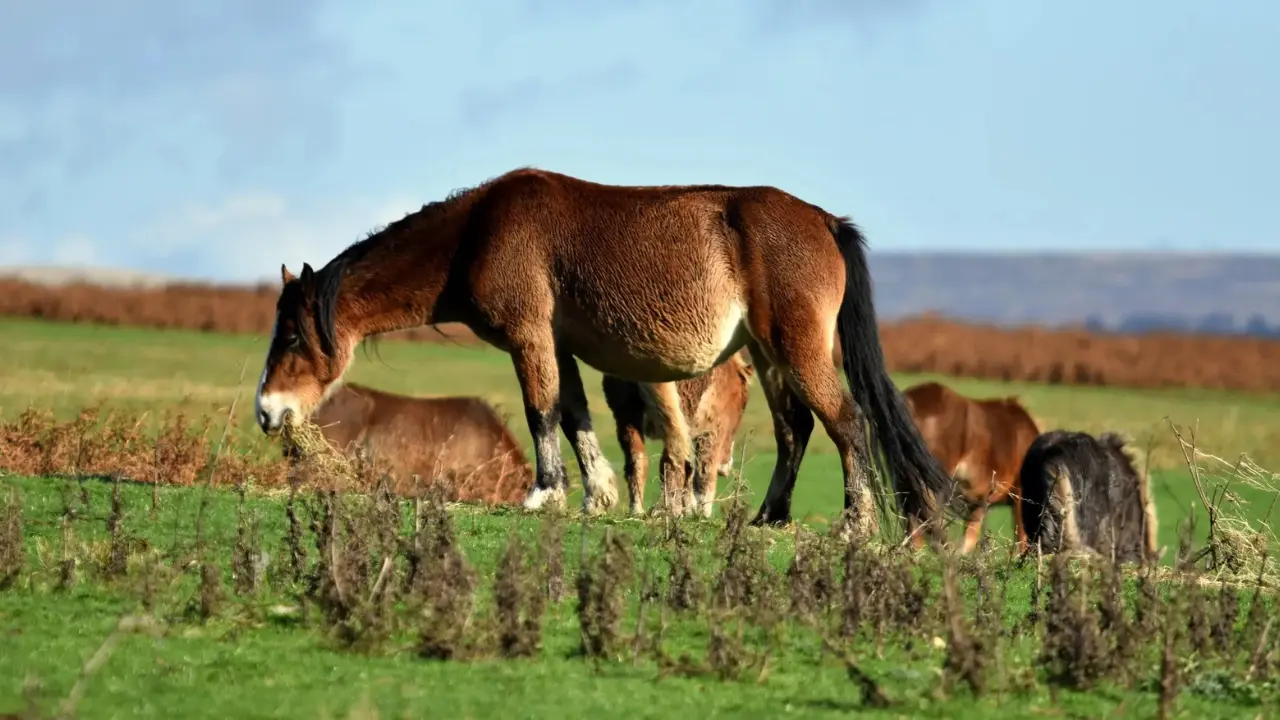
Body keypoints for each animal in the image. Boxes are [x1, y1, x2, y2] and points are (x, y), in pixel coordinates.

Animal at [602, 348, 755, 518]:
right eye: (744, 403)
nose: (726, 467)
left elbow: (690, 470)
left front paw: (689, 510)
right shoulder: (713, 429)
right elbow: (704, 471)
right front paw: (702, 513)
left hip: (626, 414)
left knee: (637, 459)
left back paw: (637, 510)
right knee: (670, 462)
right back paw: (670, 510)